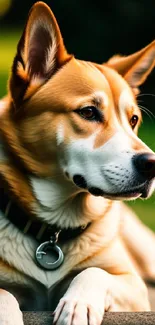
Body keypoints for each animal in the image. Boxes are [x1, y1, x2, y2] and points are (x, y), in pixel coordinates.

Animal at [0, 1, 155, 322]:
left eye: (133, 120)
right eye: (88, 112)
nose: (152, 163)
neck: (54, 231)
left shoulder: (134, 286)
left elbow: (94, 272)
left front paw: (78, 305)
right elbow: (3, 294)